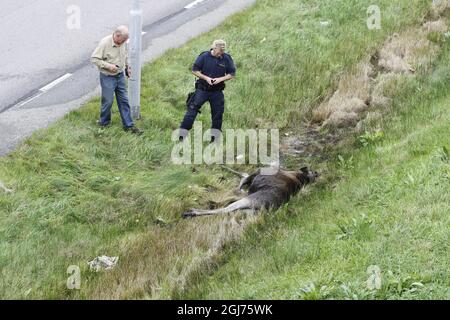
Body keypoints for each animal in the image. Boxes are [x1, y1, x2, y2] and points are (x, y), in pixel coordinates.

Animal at [183, 166, 320, 219]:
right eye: (313, 173)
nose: (317, 173)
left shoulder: (255, 176)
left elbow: (243, 178)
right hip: (246, 206)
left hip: (246, 201)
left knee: (225, 209)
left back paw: (190, 212)